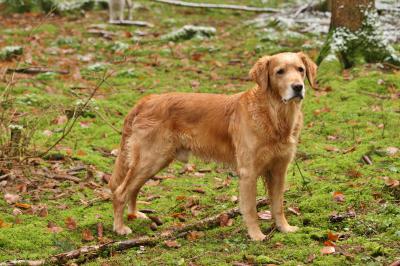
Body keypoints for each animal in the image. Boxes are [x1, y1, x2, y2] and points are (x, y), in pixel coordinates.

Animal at [108, 51, 316, 240]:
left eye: (301, 70)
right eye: (280, 72)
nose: (298, 87)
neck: (274, 114)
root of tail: (147, 100)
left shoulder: (279, 169)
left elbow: (278, 204)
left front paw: (284, 228)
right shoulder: (248, 172)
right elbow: (251, 209)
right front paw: (256, 235)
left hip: (154, 161)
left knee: (133, 188)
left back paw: (134, 215)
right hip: (151, 158)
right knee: (120, 191)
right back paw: (120, 227)